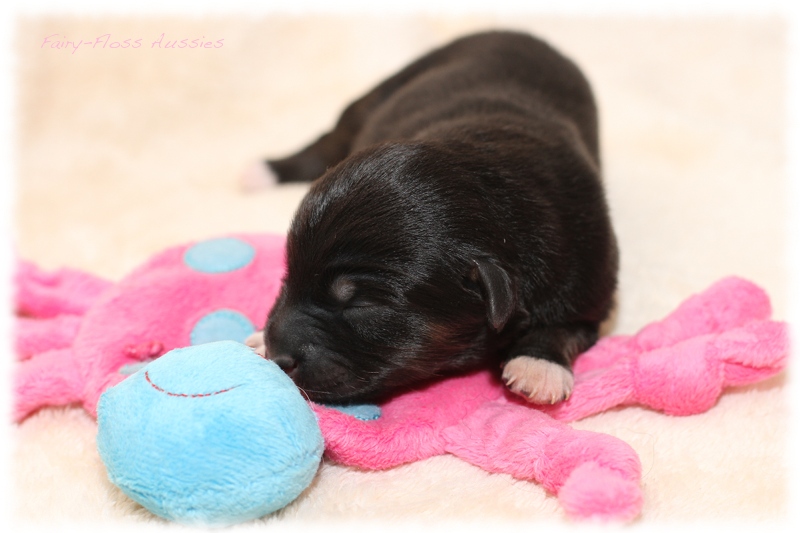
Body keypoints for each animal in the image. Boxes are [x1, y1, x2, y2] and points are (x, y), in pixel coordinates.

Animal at [244, 31, 620, 406]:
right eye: (287, 277)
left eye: (361, 304)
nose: (278, 357)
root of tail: (512, 31)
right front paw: (263, 336)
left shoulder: (588, 276)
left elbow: (564, 328)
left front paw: (538, 367)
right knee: (328, 140)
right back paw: (264, 171)